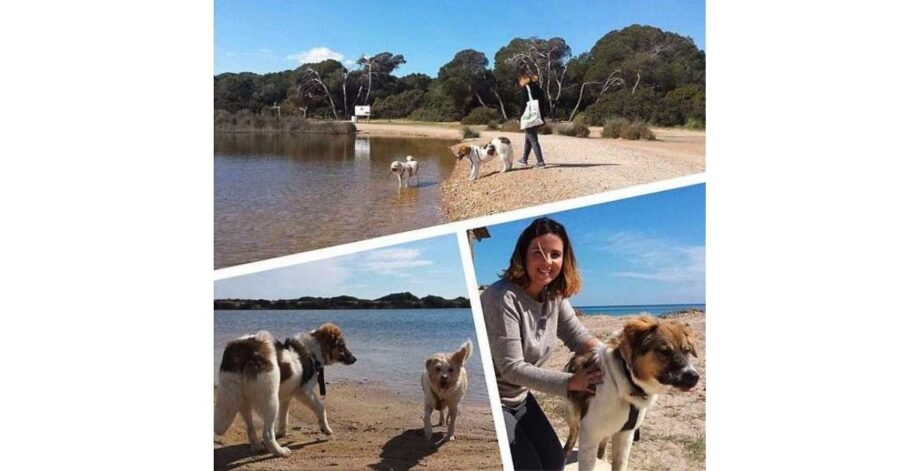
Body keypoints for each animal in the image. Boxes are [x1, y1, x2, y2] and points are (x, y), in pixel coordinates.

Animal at [216, 324, 356, 458]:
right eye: (342, 346)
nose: (355, 359)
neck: (312, 352)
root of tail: (241, 349)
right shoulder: (304, 391)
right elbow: (321, 408)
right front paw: (326, 429)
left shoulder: (285, 396)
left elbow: (284, 416)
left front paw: (281, 432)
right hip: (270, 400)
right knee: (267, 434)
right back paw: (280, 451)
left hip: (243, 400)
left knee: (250, 426)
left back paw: (257, 447)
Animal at [564, 318, 704, 471]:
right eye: (664, 351)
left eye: (686, 351)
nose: (694, 377)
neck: (626, 382)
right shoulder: (590, 432)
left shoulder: (626, 434)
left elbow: (619, 464)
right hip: (573, 414)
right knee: (573, 433)